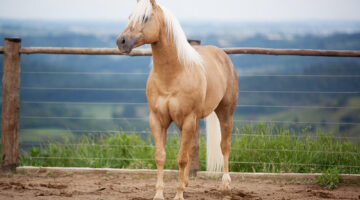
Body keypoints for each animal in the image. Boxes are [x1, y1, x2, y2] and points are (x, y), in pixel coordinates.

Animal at [116, 0, 238, 199]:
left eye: (145, 17)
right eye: (129, 17)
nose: (121, 41)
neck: (173, 74)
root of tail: (222, 55)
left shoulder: (188, 119)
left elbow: (181, 158)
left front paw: (178, 194)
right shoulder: (158, 120)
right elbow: (161, 156)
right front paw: (159, 194)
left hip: (225, 113)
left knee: (224, 146)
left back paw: (226, 184)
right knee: (191, 149)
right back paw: (187, 183)